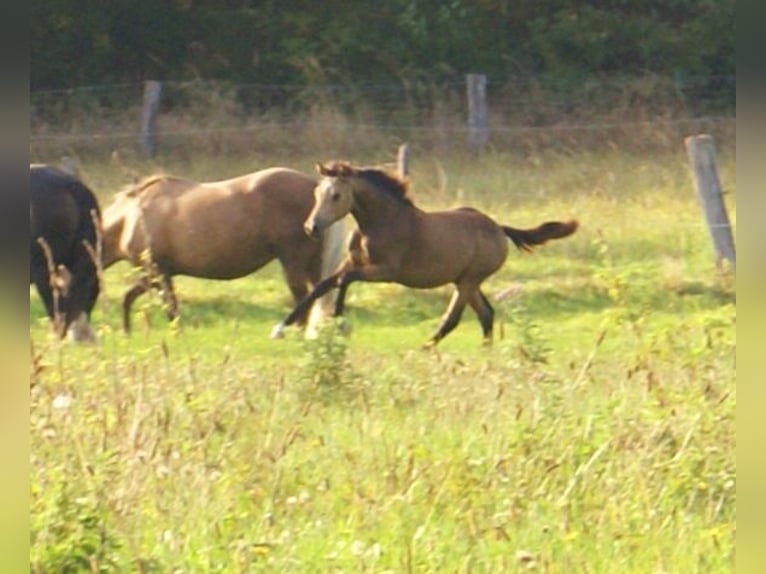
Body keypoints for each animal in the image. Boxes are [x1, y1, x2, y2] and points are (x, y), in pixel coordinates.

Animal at [101, 169, 344, 336]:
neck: (130, 218)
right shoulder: (157, 274)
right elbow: (130, 298)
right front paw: (126, 332)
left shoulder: (157, 272)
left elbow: (170, 309)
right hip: (313, 265)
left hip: (293, 263)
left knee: (302, 301)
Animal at [272, 162, 580, 348]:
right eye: (317, 192)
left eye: (336, 195)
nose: (311, 227)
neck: (381, 222)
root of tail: (499, 228)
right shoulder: (352, 262)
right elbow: (322, 286)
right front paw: (282, 326)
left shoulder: (385, 271)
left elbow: (344, 280)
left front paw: (338, 321)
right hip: (465, 280)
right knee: (486, 314)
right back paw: (486, 352)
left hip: (470, 279)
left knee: (454, 318)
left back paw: (426, 348)